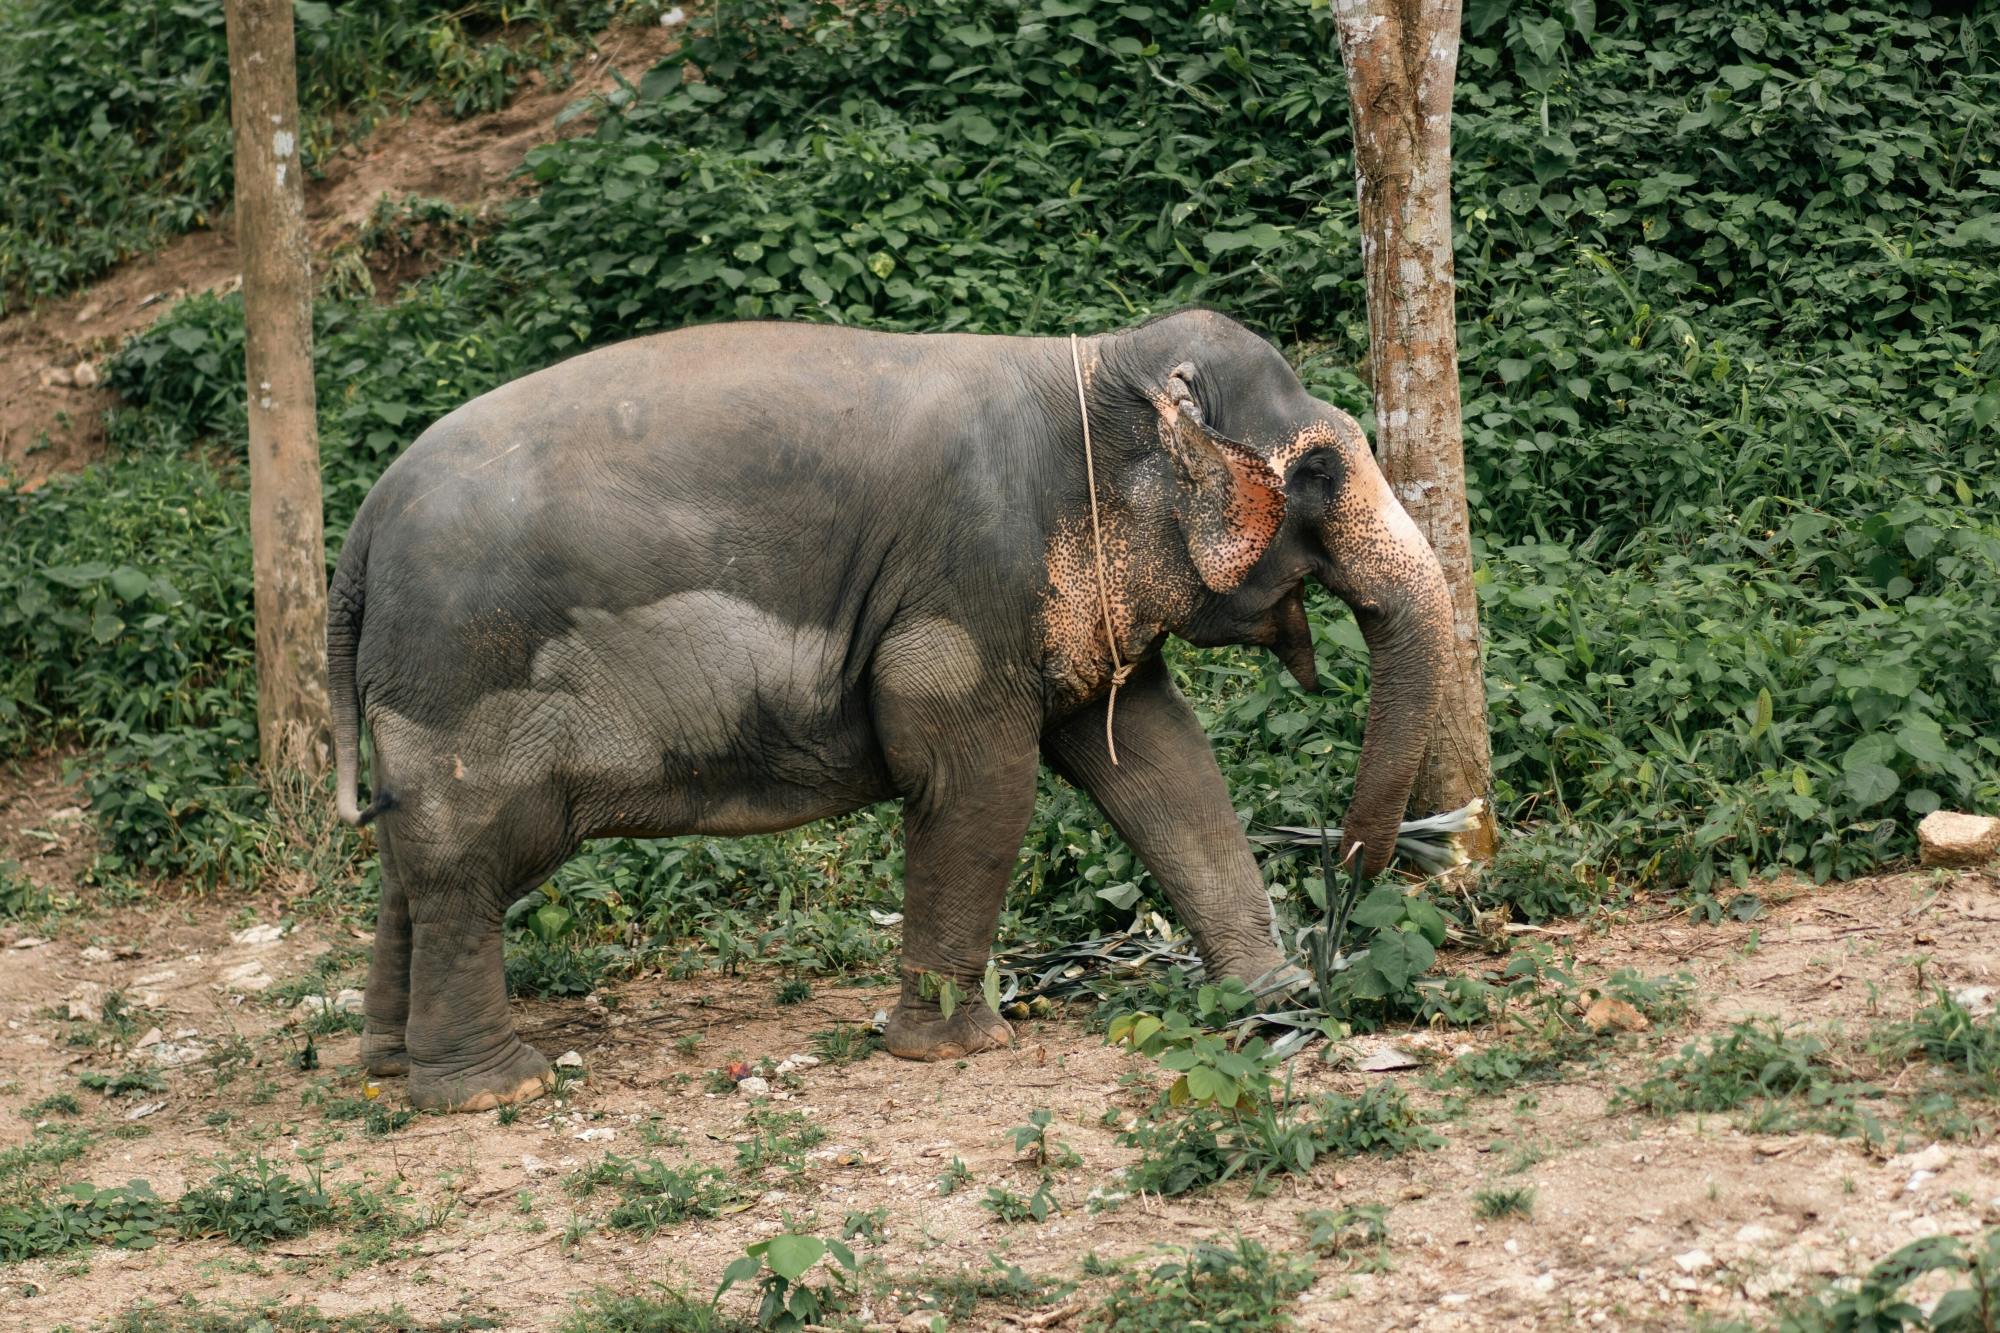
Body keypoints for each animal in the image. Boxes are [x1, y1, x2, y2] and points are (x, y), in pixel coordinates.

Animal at [326, 307, 1452, 1112]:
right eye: (1317, 471)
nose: (1354, 869)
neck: (1094, 369)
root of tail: (361, 532)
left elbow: (1161, 763)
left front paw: (1270, 998)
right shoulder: (968, 585)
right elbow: (977, 781)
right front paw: (953, 1048)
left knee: (413, 866)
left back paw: (390, 1066)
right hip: (466, 678)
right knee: (468, 861)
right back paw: (491, 1089)